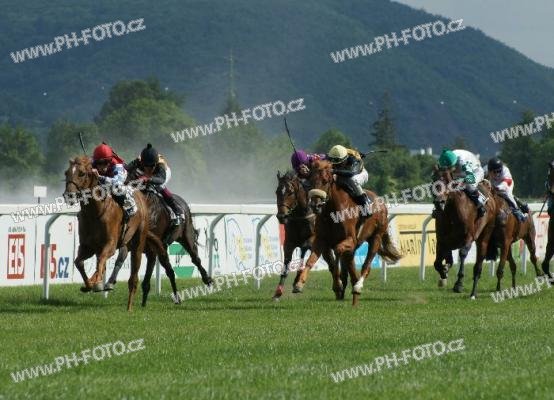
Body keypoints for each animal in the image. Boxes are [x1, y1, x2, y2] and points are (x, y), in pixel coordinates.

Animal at [63, 156, 165, 311]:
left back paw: (129, 307)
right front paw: (90, 284)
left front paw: (97, 283)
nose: (68, 195)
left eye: (81, 173)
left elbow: (101, 260)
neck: (95, 212)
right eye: (66, 173)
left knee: (133, 277)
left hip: (138, 243)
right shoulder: (87, 246)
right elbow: (79, 262)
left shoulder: (110, 244)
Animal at [105, 166, 214, 305]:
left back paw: (205, 280)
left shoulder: (152, 248)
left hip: (186, 237)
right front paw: (110, 282)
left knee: (194, 259)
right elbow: (120, 259)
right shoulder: (131, 244)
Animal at [273, 171, 337, 299]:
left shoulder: (312, 240)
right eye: (277, 192)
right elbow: (286, 263)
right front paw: (278, 291)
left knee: (332, 264)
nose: (281, 216)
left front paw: (298, 282)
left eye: (291, 192)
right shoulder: (289, 242)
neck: (301, 215)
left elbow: (305, 253)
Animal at [293, 160, 402, 305]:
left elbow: (338, 252)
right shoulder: (321, 240)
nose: (315, 205)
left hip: (376, 238)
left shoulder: (350, 239)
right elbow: (311, 260)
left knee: (366, 266)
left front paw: (338, 285)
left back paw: (357, 287)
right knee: (352, 268)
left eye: (325, 181)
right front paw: (299, 284)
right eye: (311, 181)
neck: (332, 212)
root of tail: (381, 202)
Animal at [432, 166, 498, 299]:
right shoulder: (442, 240)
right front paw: (444, 272)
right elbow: (437, 263)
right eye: (433, 181)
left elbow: (462, 254)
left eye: (446, 181)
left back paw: (473, 294)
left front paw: (459, 284)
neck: (451, 212)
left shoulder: (468, 237)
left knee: (478, 267)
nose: (439, 202)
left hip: (484, 237)